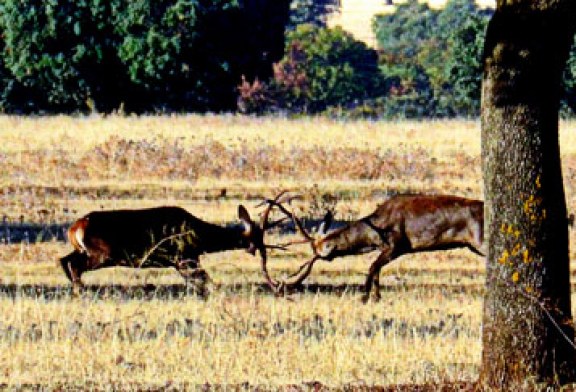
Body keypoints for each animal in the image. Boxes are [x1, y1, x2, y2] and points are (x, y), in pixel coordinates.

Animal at [59, 194, 284, 296]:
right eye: (256, 239)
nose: (260, 251)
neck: (200, 236)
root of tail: (75, 227)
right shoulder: (184, 258)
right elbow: (206, 280)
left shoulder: (182, 262)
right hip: (102, 254)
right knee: (73, 265)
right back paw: (81, 291)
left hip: (85, 251)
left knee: (64, 260)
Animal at [268, 194, 484, 302]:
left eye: (319, 255)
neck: (376, 229)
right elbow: (377, 269)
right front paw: (376, 297)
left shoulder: (397, 245)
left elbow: (372, 266)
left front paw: (364, 296)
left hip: (480, 241)